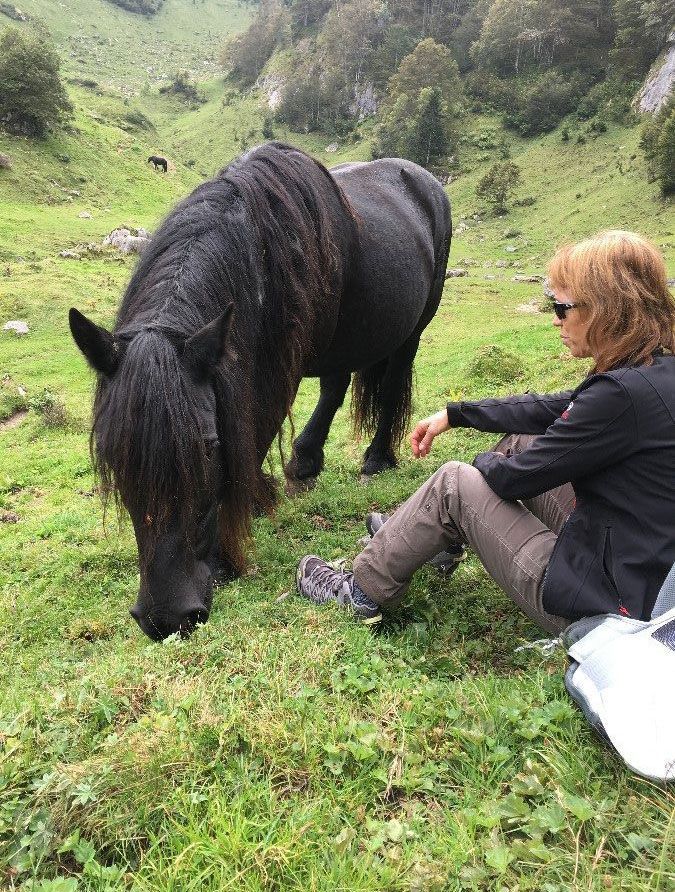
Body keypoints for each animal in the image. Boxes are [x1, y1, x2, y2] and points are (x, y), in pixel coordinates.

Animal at [69, 142, 451, 641]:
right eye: (114, 455)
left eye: (210, 447)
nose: (165, 617)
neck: (262, 248)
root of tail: (427, 183)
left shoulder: (273, 372)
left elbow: (254, 437)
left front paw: (231, 537)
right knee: (336, 385)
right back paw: (305, 463)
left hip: (411, 331)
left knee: (388, 388)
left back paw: (375, 458)